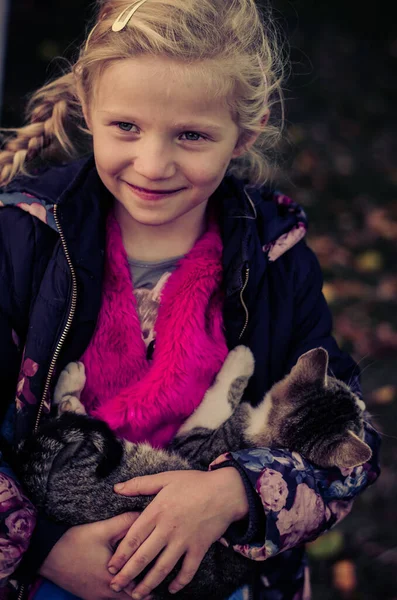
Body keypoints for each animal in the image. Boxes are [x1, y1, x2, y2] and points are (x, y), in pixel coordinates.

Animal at [15, 346, 370, 600]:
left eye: (358, 411)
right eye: (354, 403)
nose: (367, 413)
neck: (274, 438)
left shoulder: (196, 444)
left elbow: (217, 401)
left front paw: (240, 360)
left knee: (73, 420)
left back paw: (70, 387)